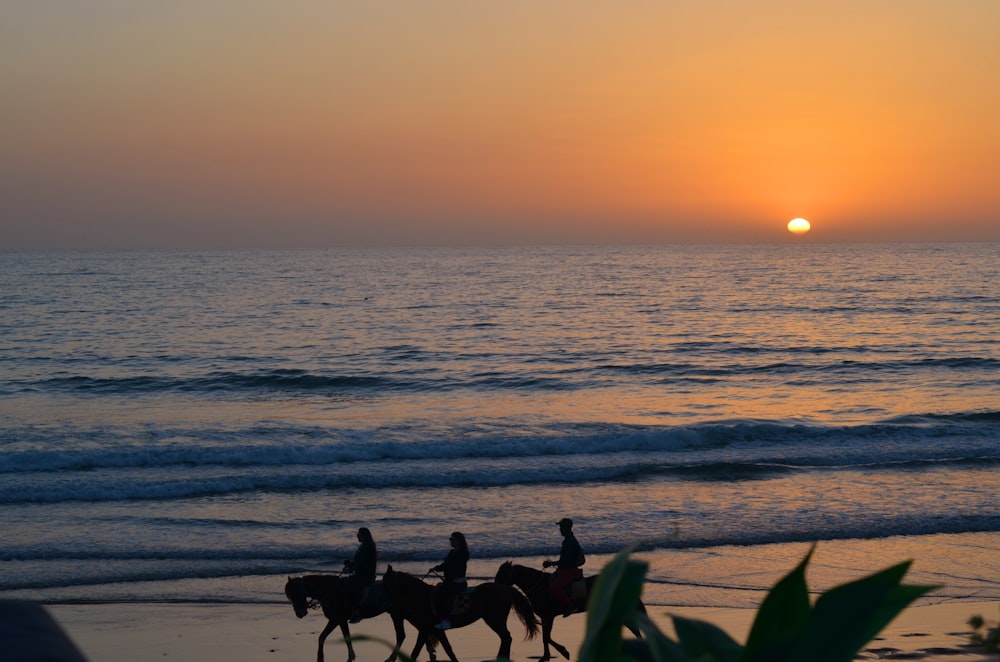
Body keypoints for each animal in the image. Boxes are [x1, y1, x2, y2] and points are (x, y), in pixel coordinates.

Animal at [284, 576, 436, 662]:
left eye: (295, 593)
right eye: (289, 596)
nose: (299, 613)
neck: (331, 590)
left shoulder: (336, 619)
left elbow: (325, 637)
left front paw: (322, 656)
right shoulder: (340, 621)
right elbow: (338, 637)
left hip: (402, 614)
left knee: (408, 633)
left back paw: (394, 657)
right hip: (402, 614)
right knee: (419, 630)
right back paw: (429, 652)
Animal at [378, 564, 536, 662]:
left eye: (387, 583)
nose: (386, 605)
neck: (421, 597)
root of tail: (506, 588)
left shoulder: (425, 629)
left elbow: (416, 651)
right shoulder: (436, 630)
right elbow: (448, 649)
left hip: (495, 620)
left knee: (506, 638)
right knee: (505, 638)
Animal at [494, 564, 648, 660]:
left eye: (502, 573)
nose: (494, 587)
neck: (540, 586)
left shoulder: (548, 617)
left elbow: (547, 637)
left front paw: (563, 652)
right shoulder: (545, 618)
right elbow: (546, 637)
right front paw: (547, 655)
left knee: (636, 631)